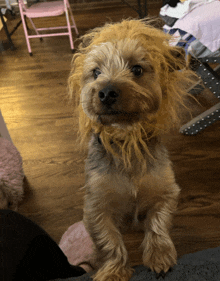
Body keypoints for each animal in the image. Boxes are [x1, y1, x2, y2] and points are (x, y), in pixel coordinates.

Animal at [68, 18, 194, 278]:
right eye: (96, 73)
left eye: (137, 69)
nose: (106, 92)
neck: (126, 139)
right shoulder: (95, 206)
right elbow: (108, 241)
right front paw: (113, 270)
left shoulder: (166, 191)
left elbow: (158, 223)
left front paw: (159, 255)